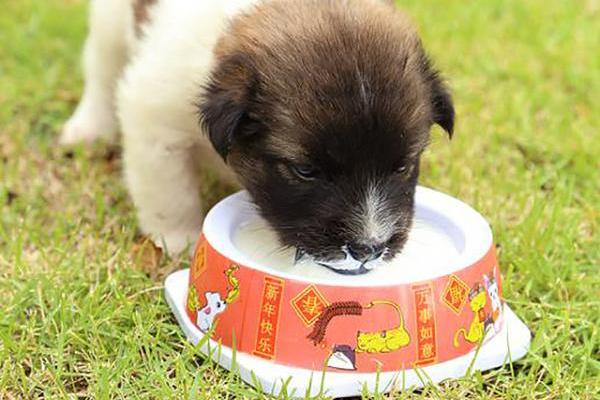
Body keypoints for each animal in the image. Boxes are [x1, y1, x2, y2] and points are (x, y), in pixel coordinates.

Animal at [62, 0, 454, 276]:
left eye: (403, 166)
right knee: (101, 70)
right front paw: (178, 241)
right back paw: (88, 128)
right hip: (110, 23)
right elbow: (169, 194)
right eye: (305, 171)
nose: (368, 249)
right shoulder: (155, 119)